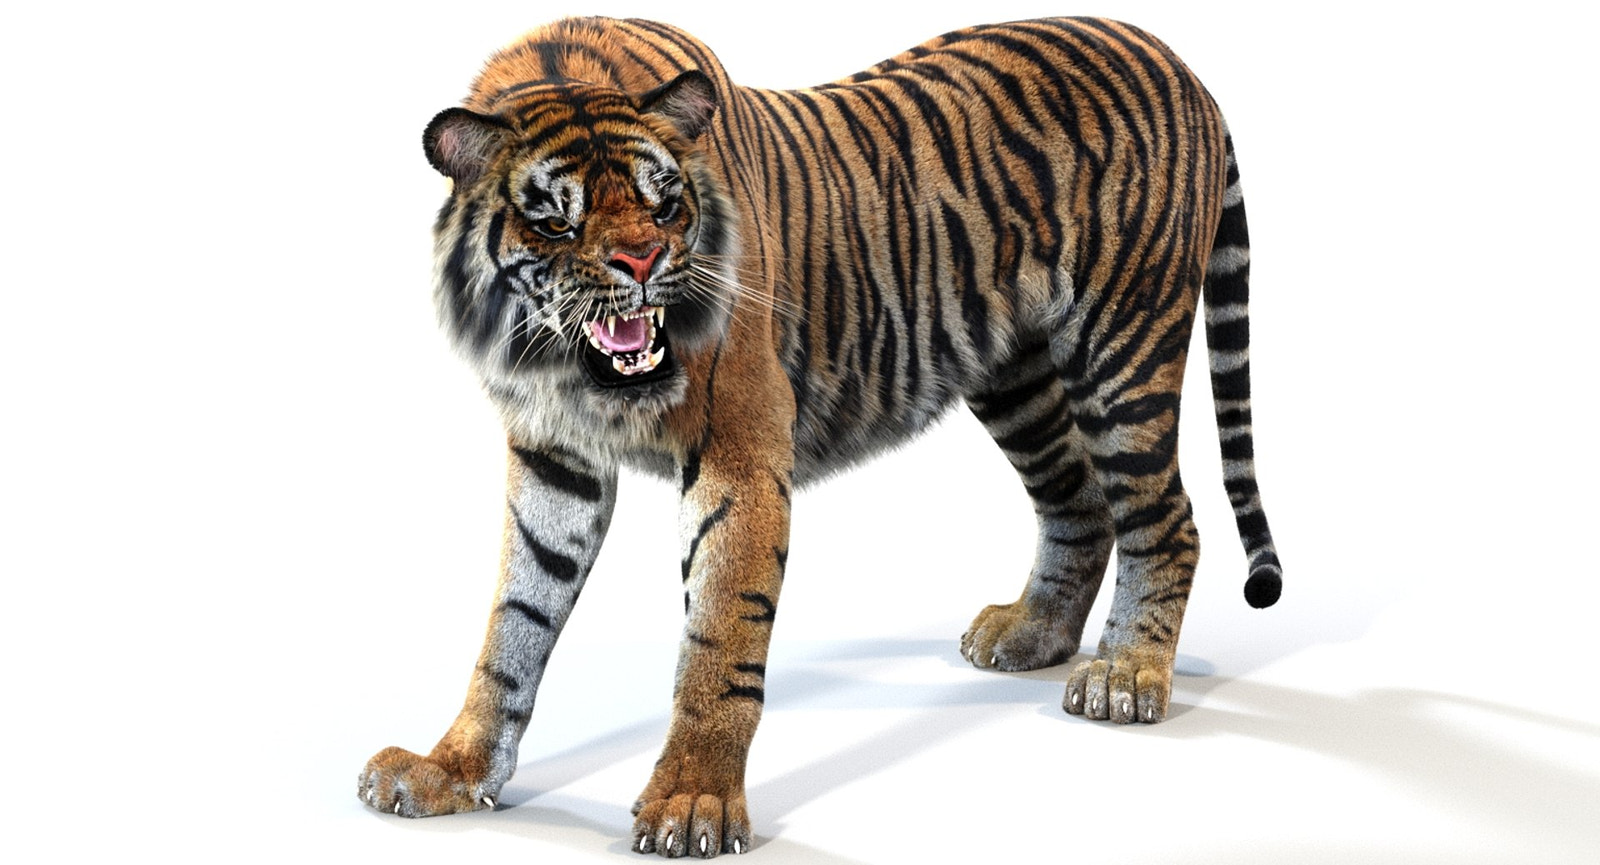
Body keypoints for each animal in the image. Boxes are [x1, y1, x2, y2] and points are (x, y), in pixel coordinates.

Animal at [358, 15, 1284, 858]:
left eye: (665, 201)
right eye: (556, 221)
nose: (643, 263)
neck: (563, 366)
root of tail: (1175, 58)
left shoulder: (737, 453)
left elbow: (720, 634)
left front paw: (693, 800)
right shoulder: (555, 458)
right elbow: (515, 621)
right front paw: (452, 768)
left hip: (1123, 349)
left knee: (1167, 519)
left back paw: (1126, 675)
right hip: (1014, 374)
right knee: (1078, 503)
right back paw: (1032, 633)